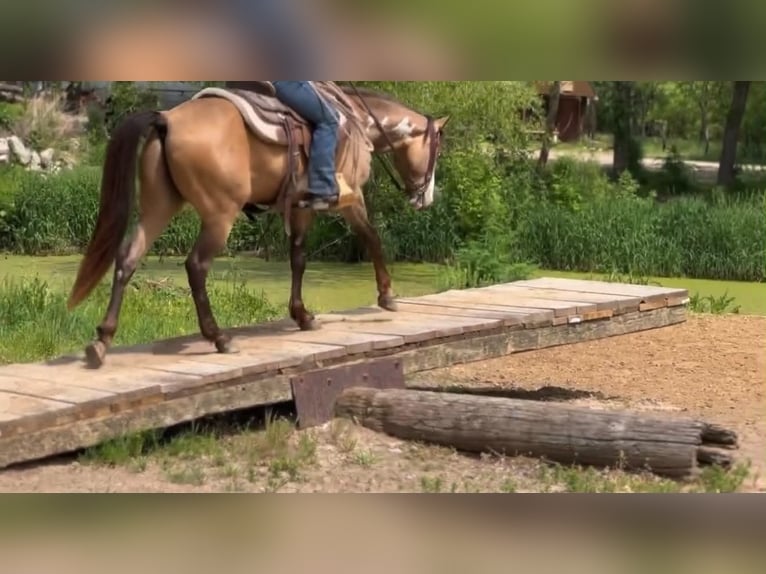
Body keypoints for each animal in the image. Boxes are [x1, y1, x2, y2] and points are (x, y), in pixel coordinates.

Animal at [66, 81, 450, 369]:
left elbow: (298, 258)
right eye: (437, 150)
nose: (427, 198)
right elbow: (371, 238)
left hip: (158, 208)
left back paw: (101, 341)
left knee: (127, 259)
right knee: (196, 266)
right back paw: (219, 338)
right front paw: (387, 296)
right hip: (219, 216)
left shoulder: (300, 208)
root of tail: (166, 120)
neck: (358, 122)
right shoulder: (351, 197)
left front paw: (302, 315)